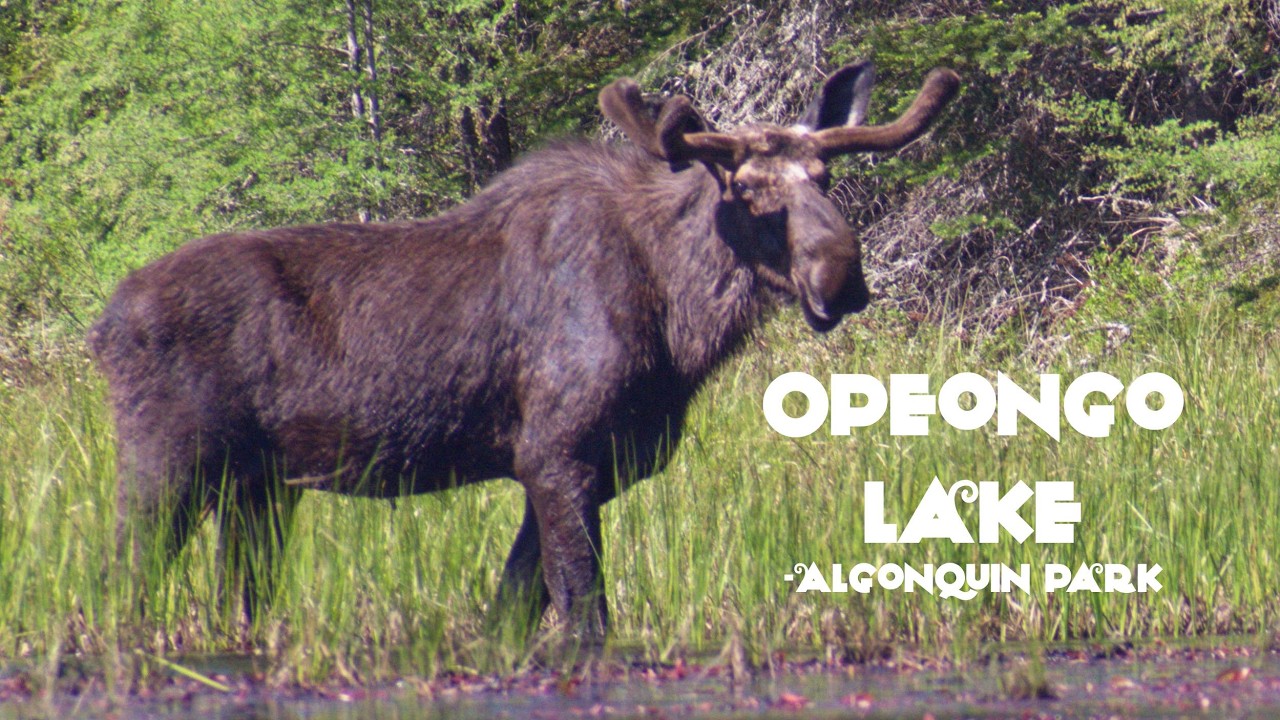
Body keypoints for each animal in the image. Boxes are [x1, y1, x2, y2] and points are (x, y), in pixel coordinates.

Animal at [88, 61, 960, 636]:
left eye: (826, 178)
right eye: (747, 190)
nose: (841, 276)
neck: (680, 329)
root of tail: (101, 328)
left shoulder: (596, 465)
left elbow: (510, 617)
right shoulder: (555, 452)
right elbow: (586, 619)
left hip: (260, 487)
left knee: (234, 605)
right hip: (168, 464)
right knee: (116, 590)